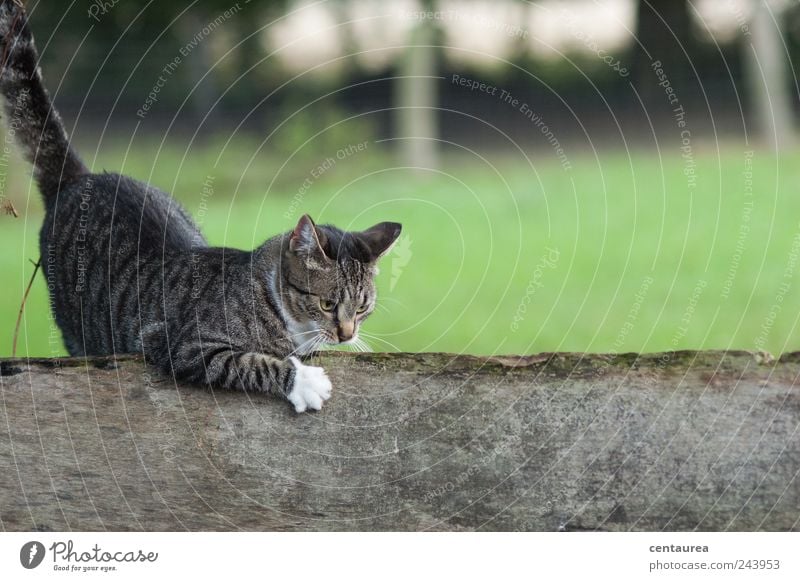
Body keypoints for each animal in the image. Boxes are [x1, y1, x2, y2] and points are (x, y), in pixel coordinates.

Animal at [0, 3, 400, 412]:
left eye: (362, 308)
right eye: (326, 303)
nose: (346, 334)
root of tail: (81, 178)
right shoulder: (184, 346)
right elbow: (254, 363)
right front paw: (302, 381)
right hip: (78, 328)